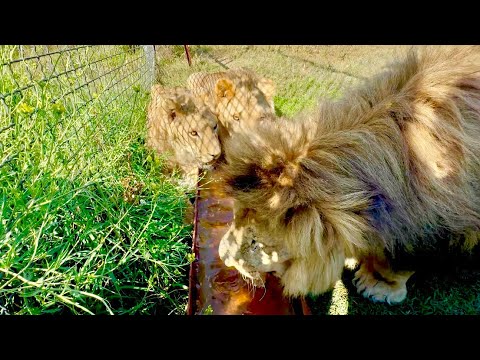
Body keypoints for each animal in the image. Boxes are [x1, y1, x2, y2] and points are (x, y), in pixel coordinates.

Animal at [217, 45, 480, 304]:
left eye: (255, 243)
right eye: (234, 218)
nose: (222, 257)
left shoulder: (433, 230)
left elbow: (398, 264)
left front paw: (376, 285)